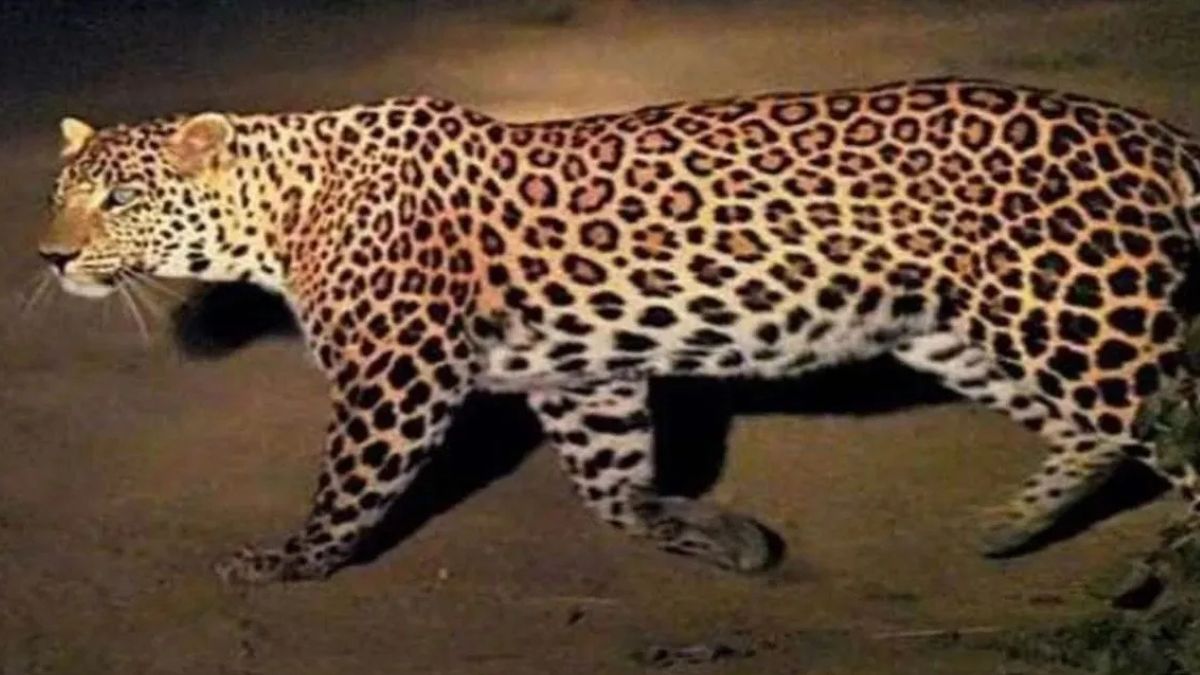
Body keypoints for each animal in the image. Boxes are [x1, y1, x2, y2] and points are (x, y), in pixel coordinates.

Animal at [38, 77, 1200, 584]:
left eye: (121, 200)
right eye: (60, 193)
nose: (47, 256)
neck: (279, 212)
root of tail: (1155, 132)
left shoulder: (398, 372)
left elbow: (352, 483)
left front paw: (290, 561)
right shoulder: (580, 375)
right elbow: (610, 486)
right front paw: (711, 534)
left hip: (1082, 315)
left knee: (1165, 423)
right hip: (965, 328)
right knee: (1099, 434)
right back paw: (1009, 527)